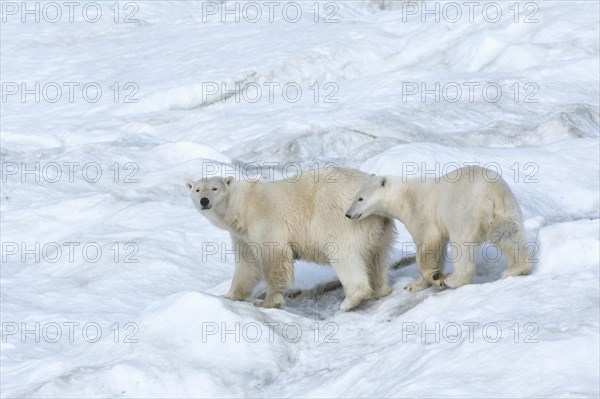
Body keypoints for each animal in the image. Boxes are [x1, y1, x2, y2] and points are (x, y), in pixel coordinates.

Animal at [185, 167, 396, 310]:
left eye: (214, 188)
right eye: (197, 189)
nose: (204, 201)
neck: (243, 205)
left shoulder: (265, 220)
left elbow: (274, 257)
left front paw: (266, 302)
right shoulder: (241, 235)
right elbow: (247, 264)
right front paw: (230, 296)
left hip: (343, 218)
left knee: (344, 256)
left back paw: (351, 300)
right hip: (379, 228)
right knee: (377, 257)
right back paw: (381, 289)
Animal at [344, 167, 532, 292]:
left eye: (360, 198)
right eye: (354, 197)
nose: (348, 214)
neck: (404, 196)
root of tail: (490, 196)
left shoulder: (422, 213)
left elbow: (428, 243)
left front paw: (435, 278)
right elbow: (438, 249)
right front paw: (414, 285)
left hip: (463, 212)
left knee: (462, 247)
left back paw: (453, 280)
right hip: (505, 209)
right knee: (510, 235)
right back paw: (516, 268)